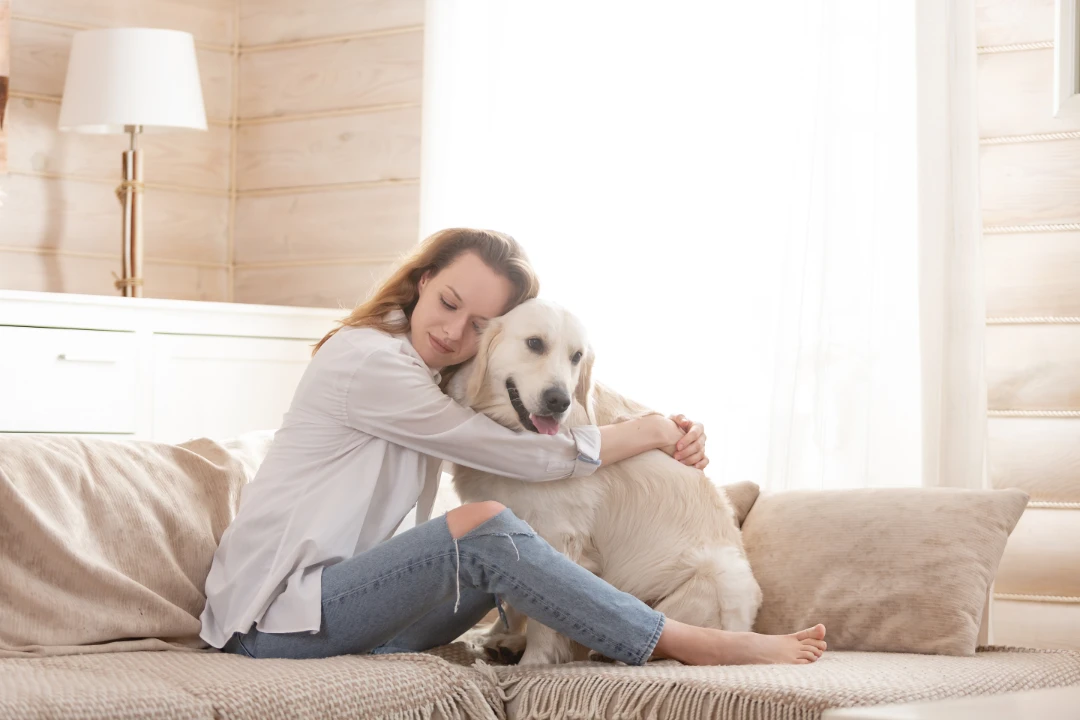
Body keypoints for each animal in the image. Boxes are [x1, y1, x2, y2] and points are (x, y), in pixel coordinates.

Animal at [442, 297, 764, 664]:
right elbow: (514, 596)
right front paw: (500, 634)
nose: (559, 401)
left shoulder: (558, 533)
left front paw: (532, 662)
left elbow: (541, 615)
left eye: (577, 356)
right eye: (535, 343)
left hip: (720, 574)